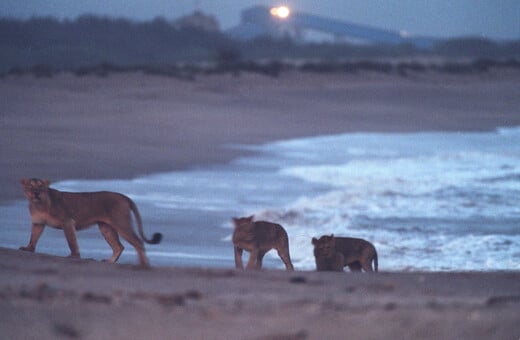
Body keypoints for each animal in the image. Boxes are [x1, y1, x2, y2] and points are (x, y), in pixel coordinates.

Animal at [19, 178, 162, 266]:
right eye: (30, 186)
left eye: (41, 186)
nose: (36, 193)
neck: (39, 204)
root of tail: (124, 196)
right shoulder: (38, 223)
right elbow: (33, 237)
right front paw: (28, 248)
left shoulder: (67, 221)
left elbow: (71, 241)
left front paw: (74, 256)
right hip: (106, 228)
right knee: (119, 246)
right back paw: (109, 261)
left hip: (121, 223)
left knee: (138, 242)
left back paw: (143, 264)